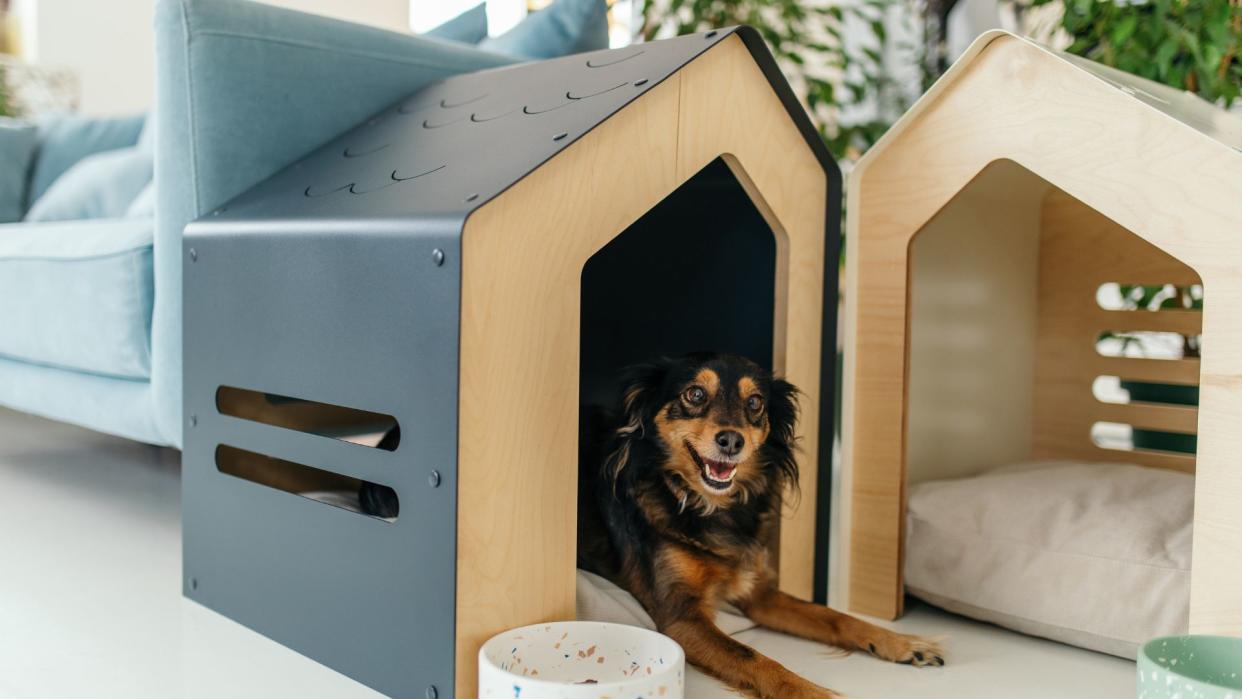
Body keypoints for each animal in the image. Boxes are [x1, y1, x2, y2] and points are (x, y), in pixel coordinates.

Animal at [578, 355, 938, 699]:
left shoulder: (758, 594)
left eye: (754, 402)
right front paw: (809, 691)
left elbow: (831, 614)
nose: (731, 441)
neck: (711, 507)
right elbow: (751, 656)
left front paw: (901, 642)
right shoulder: (680, 615)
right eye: (695, 394)